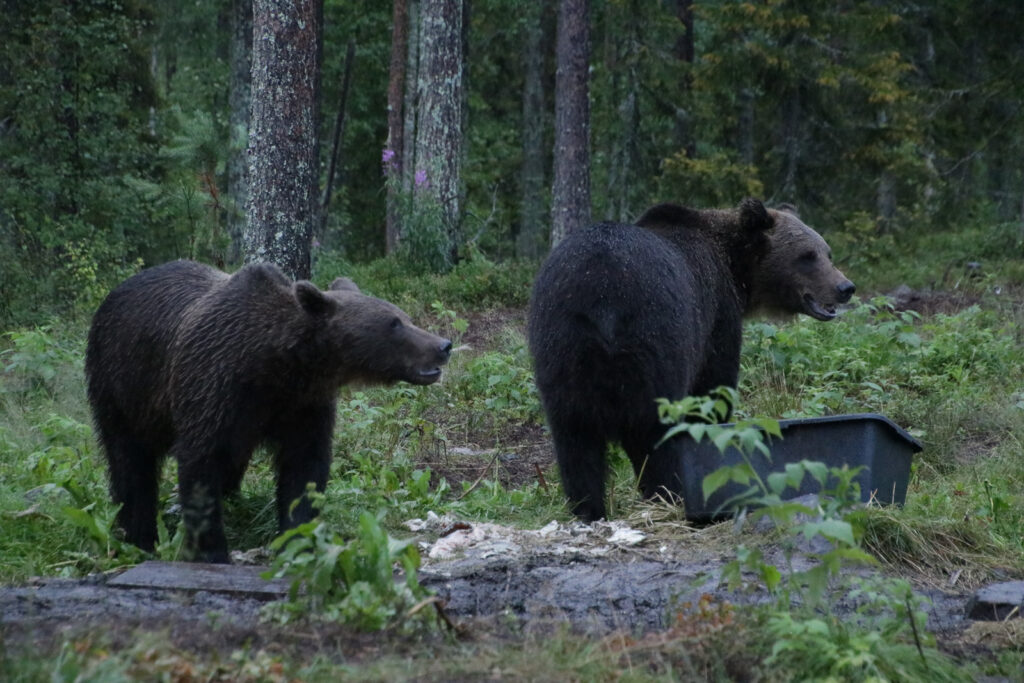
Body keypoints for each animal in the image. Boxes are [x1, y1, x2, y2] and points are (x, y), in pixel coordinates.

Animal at [85, 259, 452, 563]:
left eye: (404, 317)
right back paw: (137, 533)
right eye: (394, 324)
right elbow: (201, 460)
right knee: (129, 461)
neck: (276, 365)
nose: (443, 345)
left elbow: (304, 467)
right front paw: (212, 550)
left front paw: (297, 538)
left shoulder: (301, 405)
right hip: (122, 382)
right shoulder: (212, 384)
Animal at [527, 199, 854, 522]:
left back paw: (587, 508)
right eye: (807, 255)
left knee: (574, 437)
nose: (845, 288)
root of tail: (602, 297)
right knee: (654, 429)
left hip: (560, 344)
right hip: (655, 338)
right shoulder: (716, 317)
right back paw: (668, 494)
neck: (736, 270)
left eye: (826, 252)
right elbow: (712, 393)